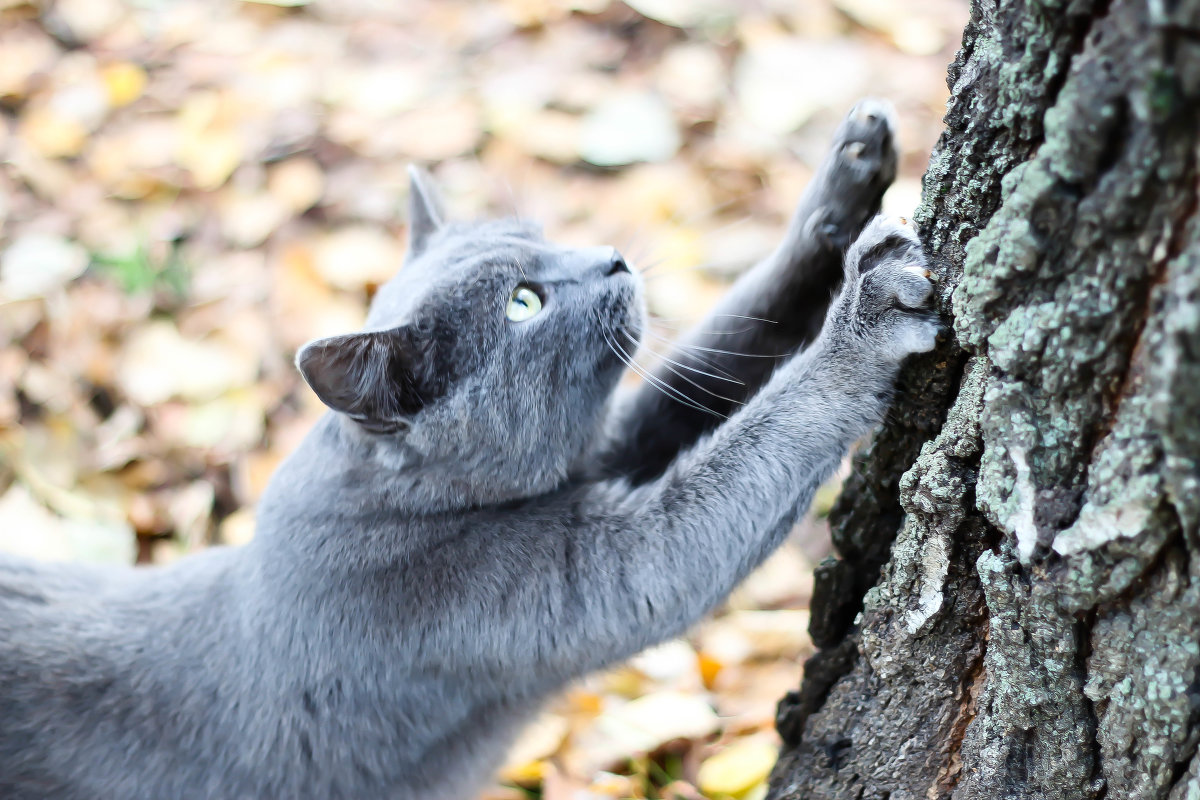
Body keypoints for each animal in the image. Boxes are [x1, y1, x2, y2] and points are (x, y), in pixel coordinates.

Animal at [0, 101, 936, 800]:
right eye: (523, 303)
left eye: (541, 233)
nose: (612, 257)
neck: (398, 503)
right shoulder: (558, 577)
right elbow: (747, 452)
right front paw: (868, 317)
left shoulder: (606, 453)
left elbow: (714, 359)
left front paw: (850, 176)